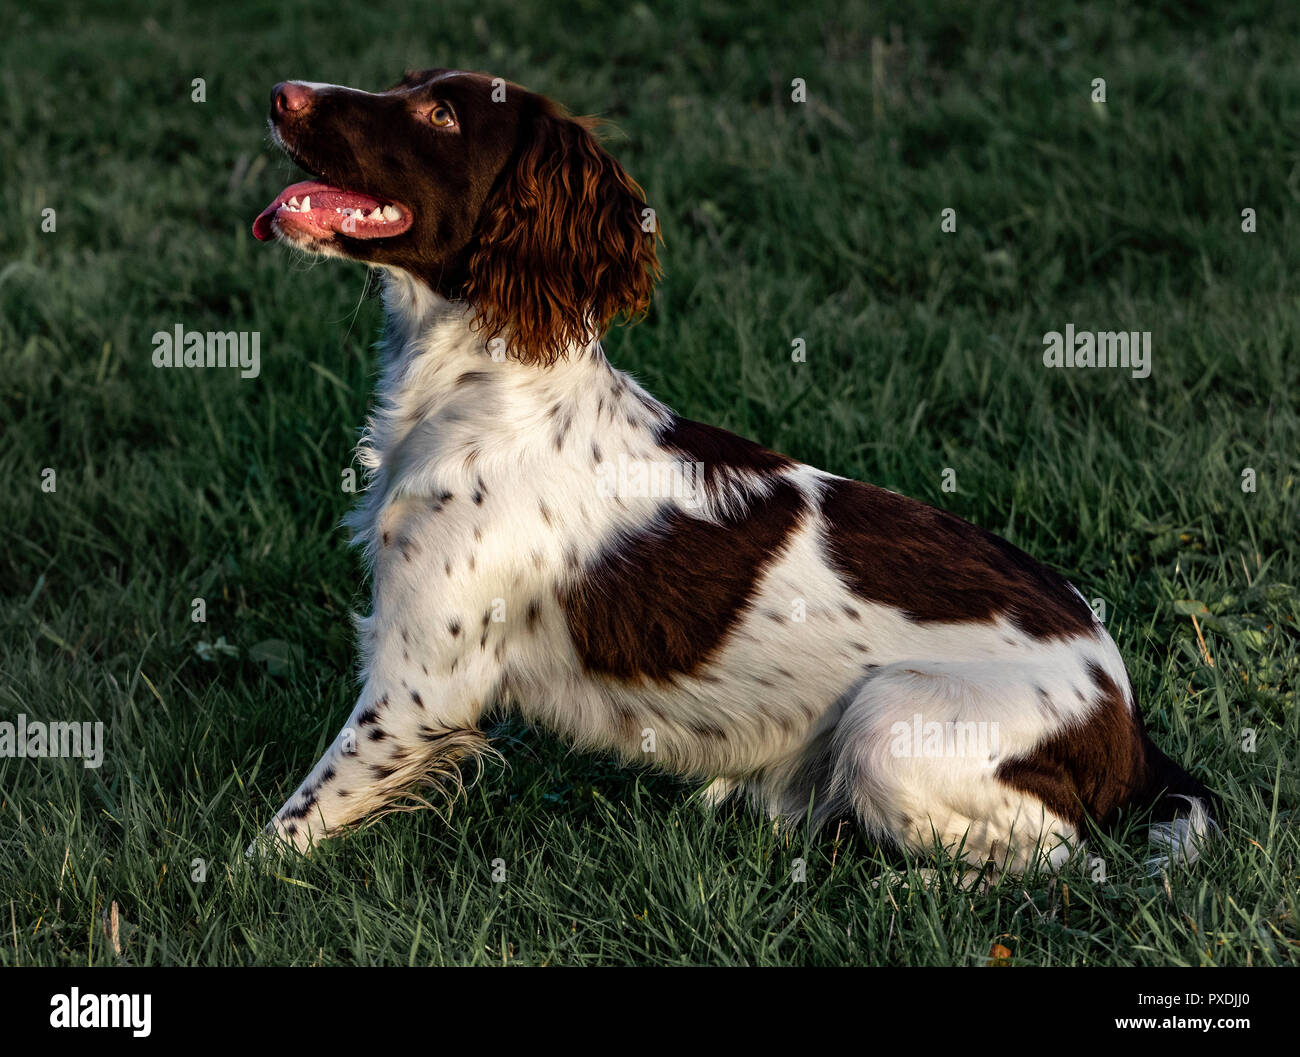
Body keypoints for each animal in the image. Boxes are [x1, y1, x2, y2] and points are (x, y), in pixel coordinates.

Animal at [250, 67, 1216, 873]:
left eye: (440, 114)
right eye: (406, 82)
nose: (281, 93)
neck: (482, 389)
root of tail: (1125, 713)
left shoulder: (419, 683)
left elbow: (283, 830)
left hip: (890, 725)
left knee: (1069, 862)